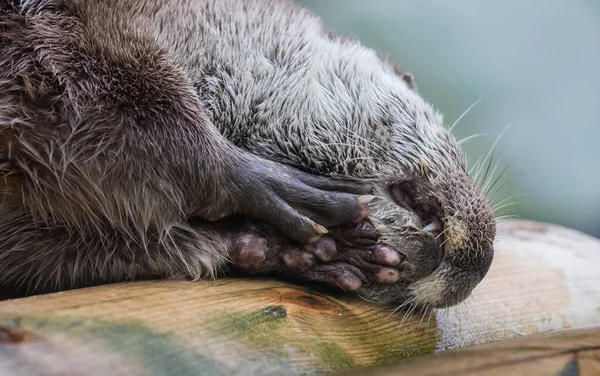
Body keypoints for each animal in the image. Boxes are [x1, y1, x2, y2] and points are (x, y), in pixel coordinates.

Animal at [0, 0, 494, 308]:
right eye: (460, 158)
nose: (480, 260)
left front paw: (292, 253)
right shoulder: (48, 28)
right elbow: (129, 93)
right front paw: (262, 182)